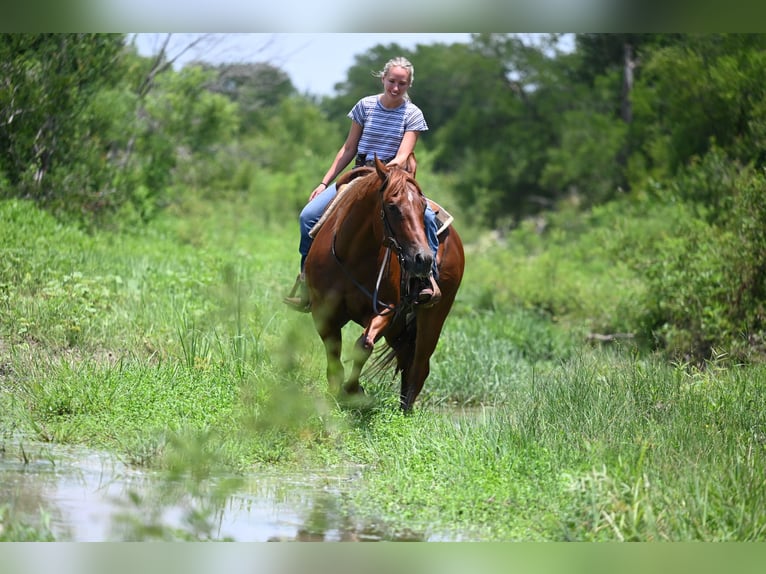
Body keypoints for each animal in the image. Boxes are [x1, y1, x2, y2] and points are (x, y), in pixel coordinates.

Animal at [303, 156, 465, 411]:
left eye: (422, 207)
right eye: (392, 206)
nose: (423, 259)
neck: (353, 255)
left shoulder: (385, 311)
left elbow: (363, 346)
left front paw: (352, 390)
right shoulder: (322, 312)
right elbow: (334, 354)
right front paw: (335, 393)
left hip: (433, 317)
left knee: (419, 364)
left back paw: (405, 412)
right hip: (399, 327)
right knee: (406, 358)